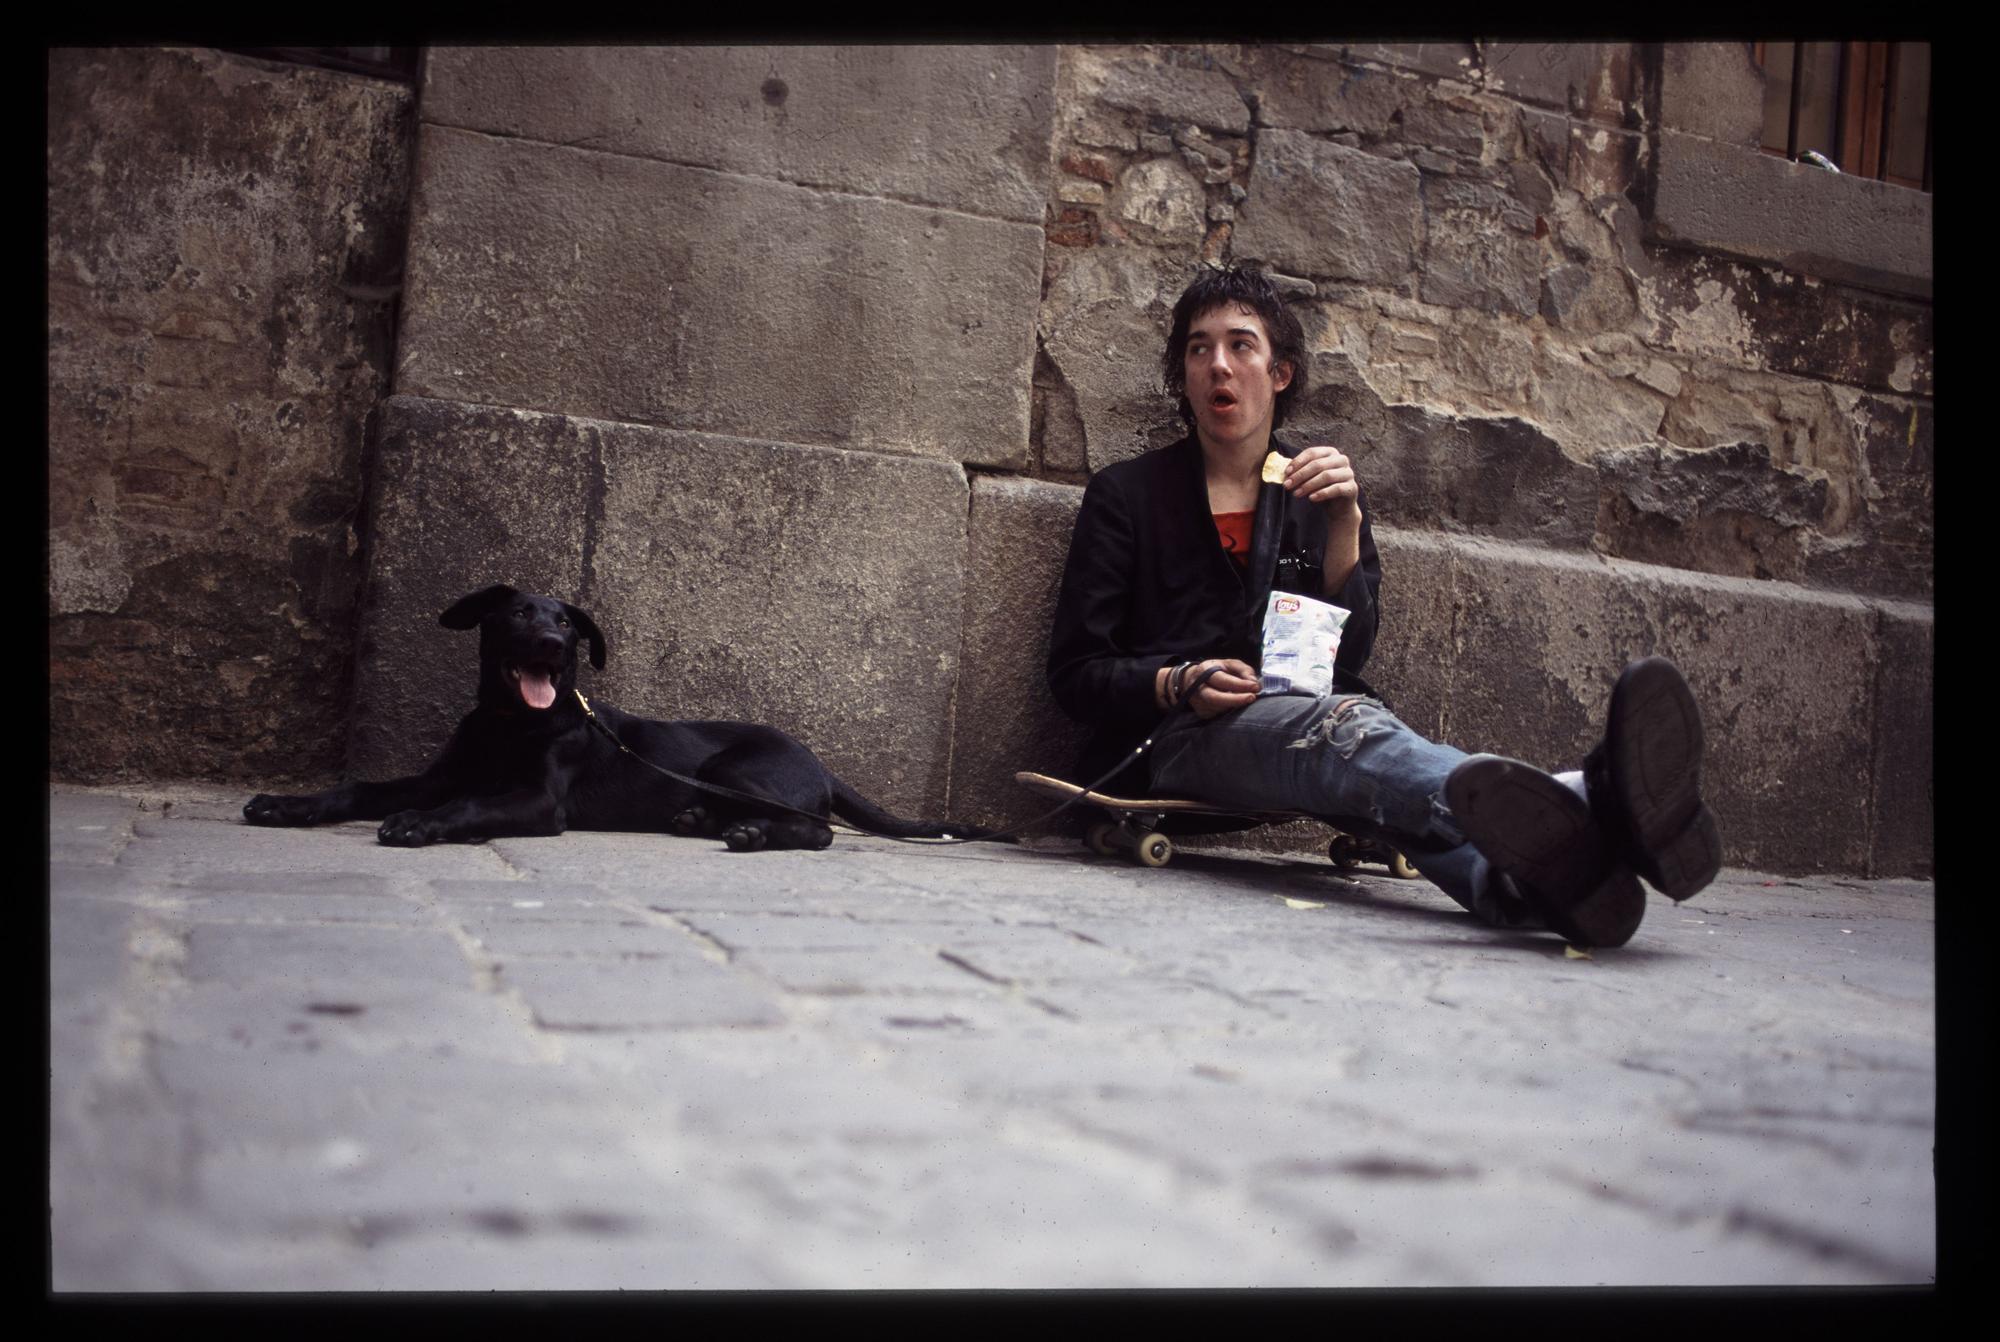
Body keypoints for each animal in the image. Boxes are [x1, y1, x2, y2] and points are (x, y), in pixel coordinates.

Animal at [242, 584, 976, 852]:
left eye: (568, 623)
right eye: (517, 613)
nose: (552, 644)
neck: (511, 722)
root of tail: (820, 761)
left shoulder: (540, 801)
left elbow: (469, 806)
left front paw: (419, 825)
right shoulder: (437, 776)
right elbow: (357, 788)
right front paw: (285, 805)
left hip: (733, 765)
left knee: (818, 830)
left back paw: (748, 833)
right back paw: (704, 821)